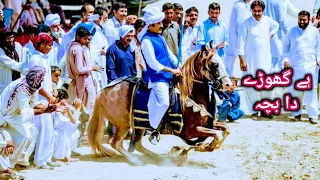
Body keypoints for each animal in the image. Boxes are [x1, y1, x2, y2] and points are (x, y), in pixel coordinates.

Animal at [87, 47, 231, 165]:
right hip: (124, 124)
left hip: (138, 126)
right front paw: (204, 147)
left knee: (137, 144)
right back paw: (137, 161)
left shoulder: (208, 124)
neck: (191, 95)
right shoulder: (190, 131)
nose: (229, 85)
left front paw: (202, 147)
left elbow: (226, 130)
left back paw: (159, 158)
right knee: (116, 143)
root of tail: (103, 92)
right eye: (215, 64)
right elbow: (217, 135)